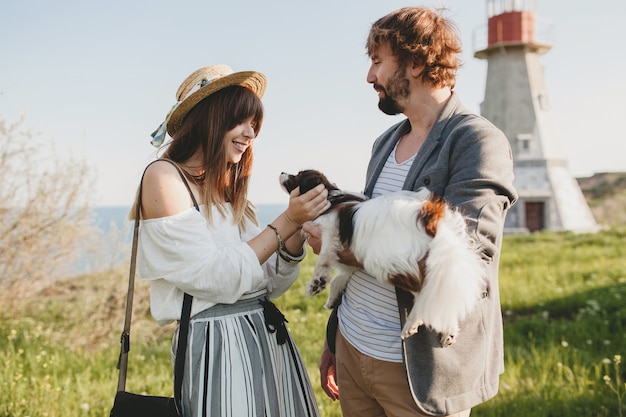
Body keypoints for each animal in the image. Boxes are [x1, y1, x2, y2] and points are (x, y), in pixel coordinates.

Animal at [278, 167, 482, 346]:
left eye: (297, 176)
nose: (281, 172)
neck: (331, 197)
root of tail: (432, 221)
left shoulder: (331, 230)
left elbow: (324, 259)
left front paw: (317, 283)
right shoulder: (351, 257)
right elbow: (339, 277)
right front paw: (332, 297)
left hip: (389, 263)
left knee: (425, 293)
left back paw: (412, 323)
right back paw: (449, 332)